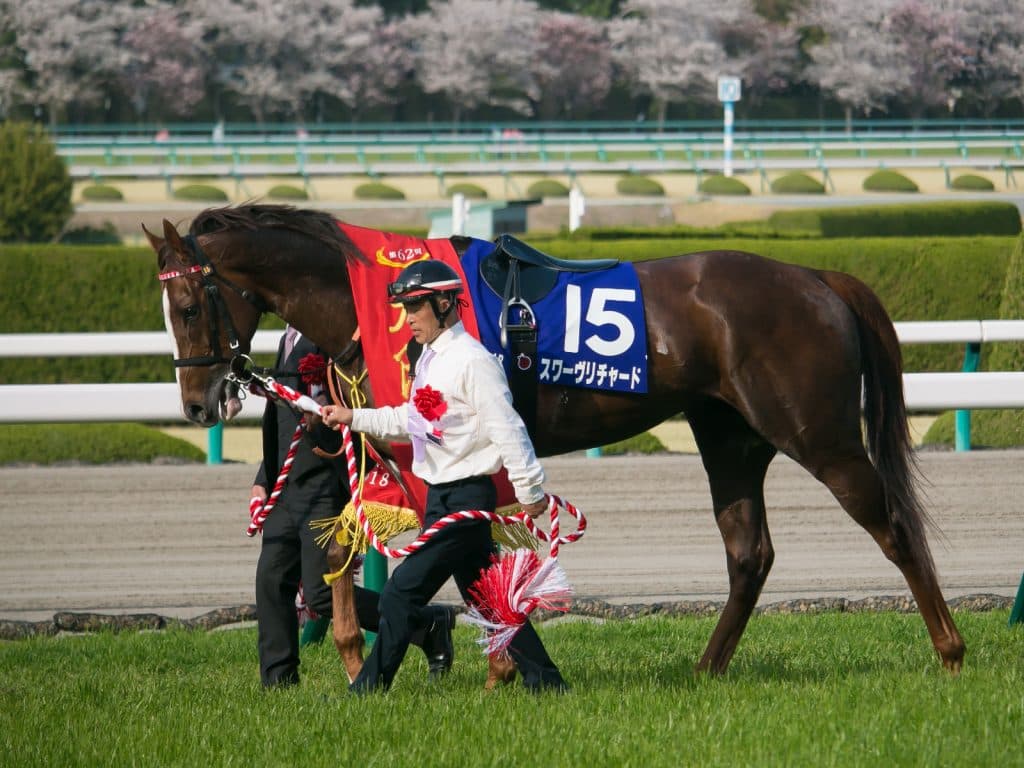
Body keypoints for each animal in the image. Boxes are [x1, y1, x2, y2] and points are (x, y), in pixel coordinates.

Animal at [146, 203, 965, 686]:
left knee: (893, 527)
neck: (375, 298)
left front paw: (488, 664)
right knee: (749, 553)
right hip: (729, 436)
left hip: (817, 433)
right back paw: (705, 668)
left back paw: (951, 651)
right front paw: (384, 653)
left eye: (187, 303)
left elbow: (446, 551)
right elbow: (366, 541)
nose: (198, 402)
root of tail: (817, 278)